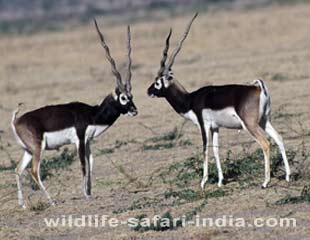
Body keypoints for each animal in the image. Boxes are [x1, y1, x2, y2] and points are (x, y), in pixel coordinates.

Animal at [11, 19, 137, 208]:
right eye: (123, 98)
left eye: (131, 96)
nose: (134, 110)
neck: (92, 113)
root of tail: (16, 121)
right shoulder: (79, 140)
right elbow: (83, 165)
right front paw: (85, 194)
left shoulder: (88, 141)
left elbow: (91, 163)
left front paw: (90, 193)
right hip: (38, 148)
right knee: (34, 171)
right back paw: (52, 201)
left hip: (28, 150)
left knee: (18, 170)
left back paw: (23, 205)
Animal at [148, 13, 290, 189]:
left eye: (157, 82)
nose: (148, 91)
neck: (190, 99)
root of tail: (257, 87)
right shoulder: (215, 127)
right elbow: (216, 150)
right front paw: (221, 181)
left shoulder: (203, 125)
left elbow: (205, 149)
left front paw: (203, 182)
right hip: (264, 120)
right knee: (279, 138)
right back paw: (288, 176)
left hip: (250, 125)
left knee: (265, 143)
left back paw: (265, 182)